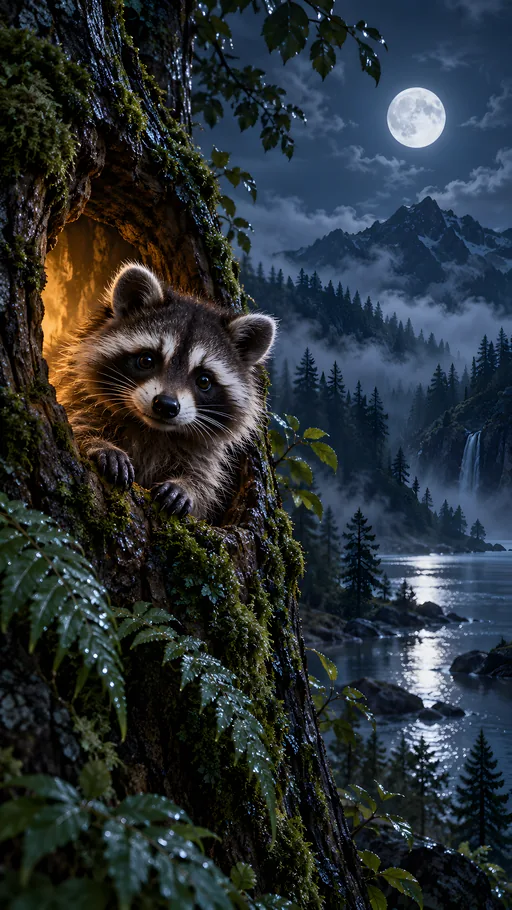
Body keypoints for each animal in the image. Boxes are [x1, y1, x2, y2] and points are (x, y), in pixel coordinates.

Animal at [55, 263, 277, 519]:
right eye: (147, 360)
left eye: (204, 380)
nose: (166, 405)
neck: (152, 430)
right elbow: (77, 423)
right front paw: (99, 443)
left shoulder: (202, 454)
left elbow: (203, 481)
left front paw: (187, 487)